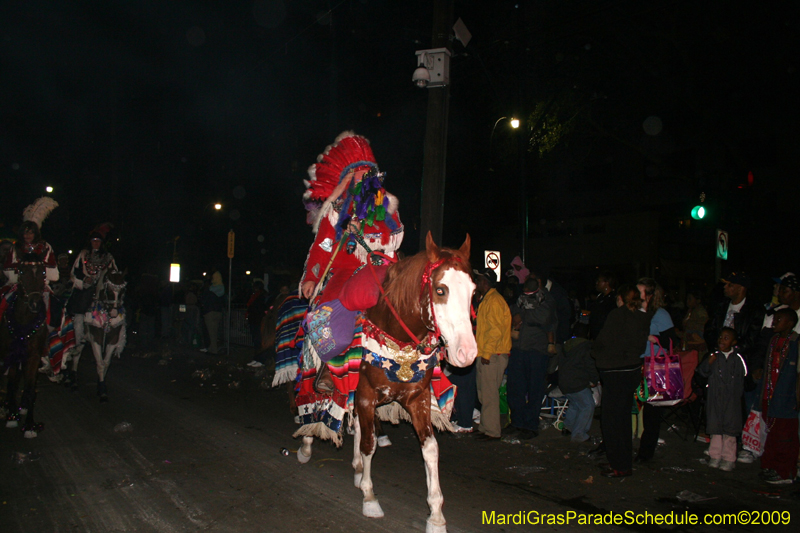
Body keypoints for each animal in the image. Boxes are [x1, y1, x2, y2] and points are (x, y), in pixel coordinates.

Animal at [0, 258, 49, 436]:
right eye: (21, 271)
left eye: (43, 272)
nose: (35, 303)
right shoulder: (12, 353)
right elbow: (12, 384)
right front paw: (12, 416)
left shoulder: (34, 355)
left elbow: (29, 387)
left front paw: (29, 425)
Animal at [80, 268, 127, 402]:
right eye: (109, 291)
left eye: (122, 291)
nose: (115, 313)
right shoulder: (96, 339)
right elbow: (100, 363)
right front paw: (102, 391)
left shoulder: (113, 340)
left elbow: (106, 363)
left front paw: (101, 387)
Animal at [296, 232, 478, 532]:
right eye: (440, 290)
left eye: (473, 291)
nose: (467, 353)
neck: (396, 335)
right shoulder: (367, 395)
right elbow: (370, 444)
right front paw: (370, 498)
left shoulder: (417, 399)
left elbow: (430, 449)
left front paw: (436, 515)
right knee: (314, 407)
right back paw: (307, 444)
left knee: (358, 425)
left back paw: (358, 468)